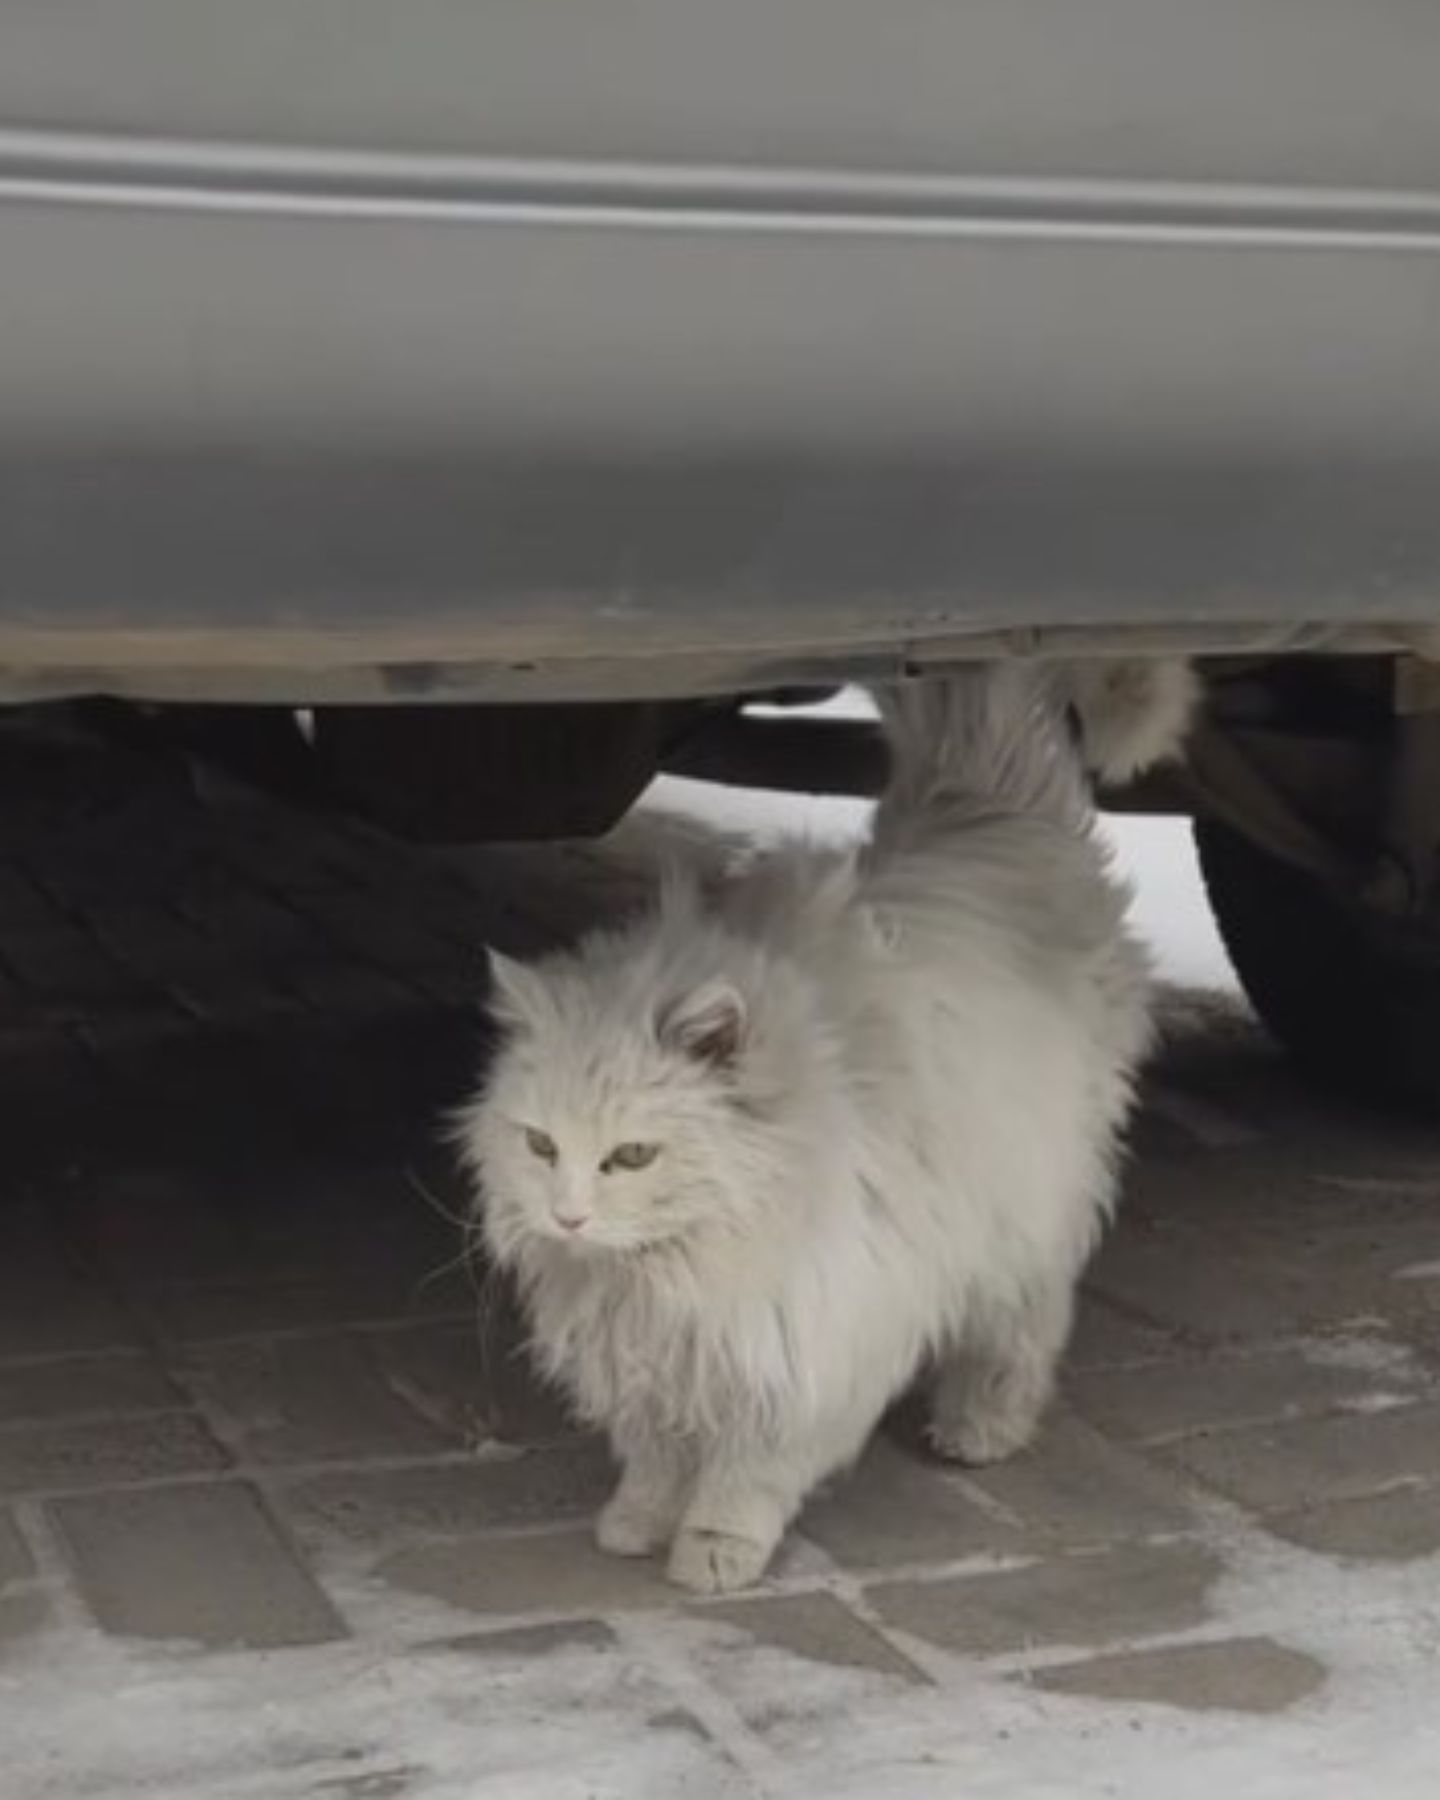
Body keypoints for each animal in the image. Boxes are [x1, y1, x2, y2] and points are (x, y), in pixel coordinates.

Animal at [459, 658, 1195, 1591]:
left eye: (631, 1156)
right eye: (541, 1145)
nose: (568, 1217)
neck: (669, 1271)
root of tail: (983, 802)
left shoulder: (809, 1331)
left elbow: (749, 1467)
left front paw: (712, 1550)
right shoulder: (657, 1353)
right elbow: (658, 1453)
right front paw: (637, 1521)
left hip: (1024, 1213)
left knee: (1024, 1331)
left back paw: (980, 1430)